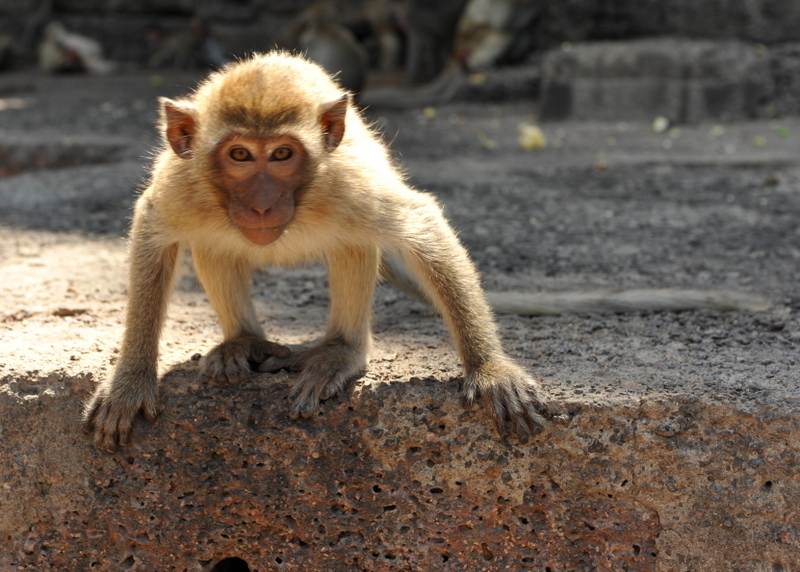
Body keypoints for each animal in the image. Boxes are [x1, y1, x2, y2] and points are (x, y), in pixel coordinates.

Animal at [84, 50, 552, 452]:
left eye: (281, 154)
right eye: (240, 155)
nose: (262, 204)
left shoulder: (346, 186)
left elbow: (421, 225)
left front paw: (489, 370)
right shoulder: (186, 188)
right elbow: (152, 231)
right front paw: (131, 380)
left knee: (354, 244)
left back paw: (340, 350)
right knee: (212, 243)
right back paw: (244, 341)